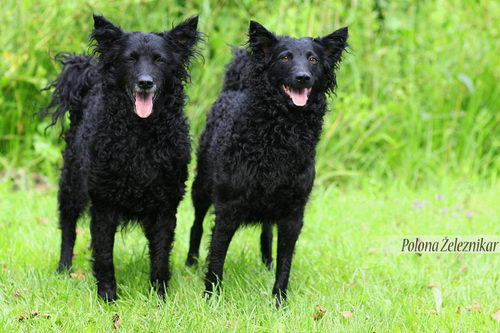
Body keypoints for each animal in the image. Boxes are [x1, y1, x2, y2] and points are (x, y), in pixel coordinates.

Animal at [45, 14, 201, 300]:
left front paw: (159, 296)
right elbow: (105, 255)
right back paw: (64, 269)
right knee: (68, 227)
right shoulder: (104, 203)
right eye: (130, 59)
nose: (145, 82)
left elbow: (160, 255)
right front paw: (107, 296)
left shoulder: (165, 205)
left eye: (160, 60)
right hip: (72, 184)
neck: (140, 136)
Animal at [185, 20, 348, 304]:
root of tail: (233, 89)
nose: (302, 77)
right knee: (196, 225)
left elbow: (285, 262)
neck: (281, 134)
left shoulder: (293, 213)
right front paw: (211, 297)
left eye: (313, 60)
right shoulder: (227, 207)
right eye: (285, 58)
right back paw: (191, 263)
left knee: (267, 231)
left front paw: (279, 300)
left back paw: (266, 263)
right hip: (201, 187)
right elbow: (216, 256)